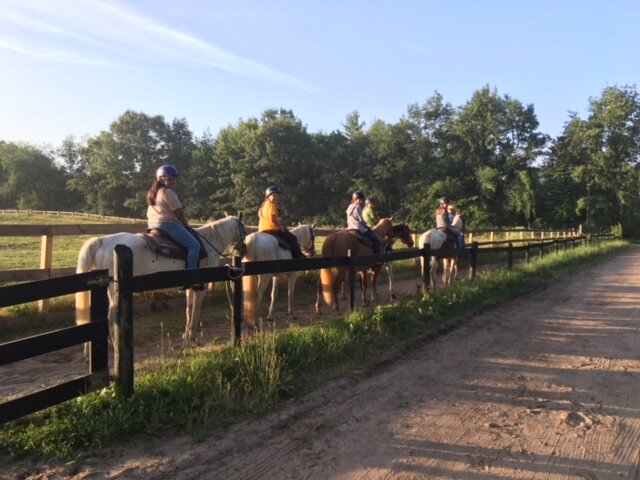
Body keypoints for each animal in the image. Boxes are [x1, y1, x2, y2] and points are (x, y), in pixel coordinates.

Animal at [74, 215, 246, 344]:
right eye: (244, 229)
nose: (243, 249)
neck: (208, 244)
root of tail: (102, 241)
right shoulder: (201, 287)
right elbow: (196, 311)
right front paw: (193, 338)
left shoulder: (190, 287)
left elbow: (189, 310)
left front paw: (186, 335)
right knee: (111, 317)